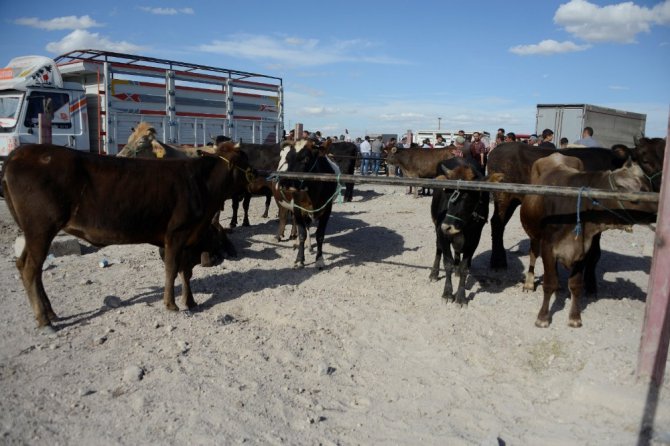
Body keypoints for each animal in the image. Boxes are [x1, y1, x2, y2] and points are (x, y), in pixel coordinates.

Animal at [0, 145, 255, 330]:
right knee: (30, 269)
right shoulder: (176, 234)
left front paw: (190, 302)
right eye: (246, 162)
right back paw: (44, 320)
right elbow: (172, 269)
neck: (202, 185)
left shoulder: (186, 240)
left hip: (34, 232)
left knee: (28, 266)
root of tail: (20, 152)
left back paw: (51, 313)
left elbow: (185, 271)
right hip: (40, 228)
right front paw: (171, 304)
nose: (259, 175)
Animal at [430, 158, 504, 306]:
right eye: (447, 192)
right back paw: (434, 273)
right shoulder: (442, 234)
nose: (447, 226)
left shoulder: (474, 239)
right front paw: (447, 293)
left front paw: (461, 296)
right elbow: (447, 263)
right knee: (438, 249)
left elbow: (465, 267)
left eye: (468, 195)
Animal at [524, 153, 660, 328]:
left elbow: (575, 285)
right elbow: (549, 283)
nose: (658, 209)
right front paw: (543, 317)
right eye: (641, 192)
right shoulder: (548, 247)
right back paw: (528, 283)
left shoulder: (583, 249)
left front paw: (575, 317)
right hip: (534, 234)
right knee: (533, 254)